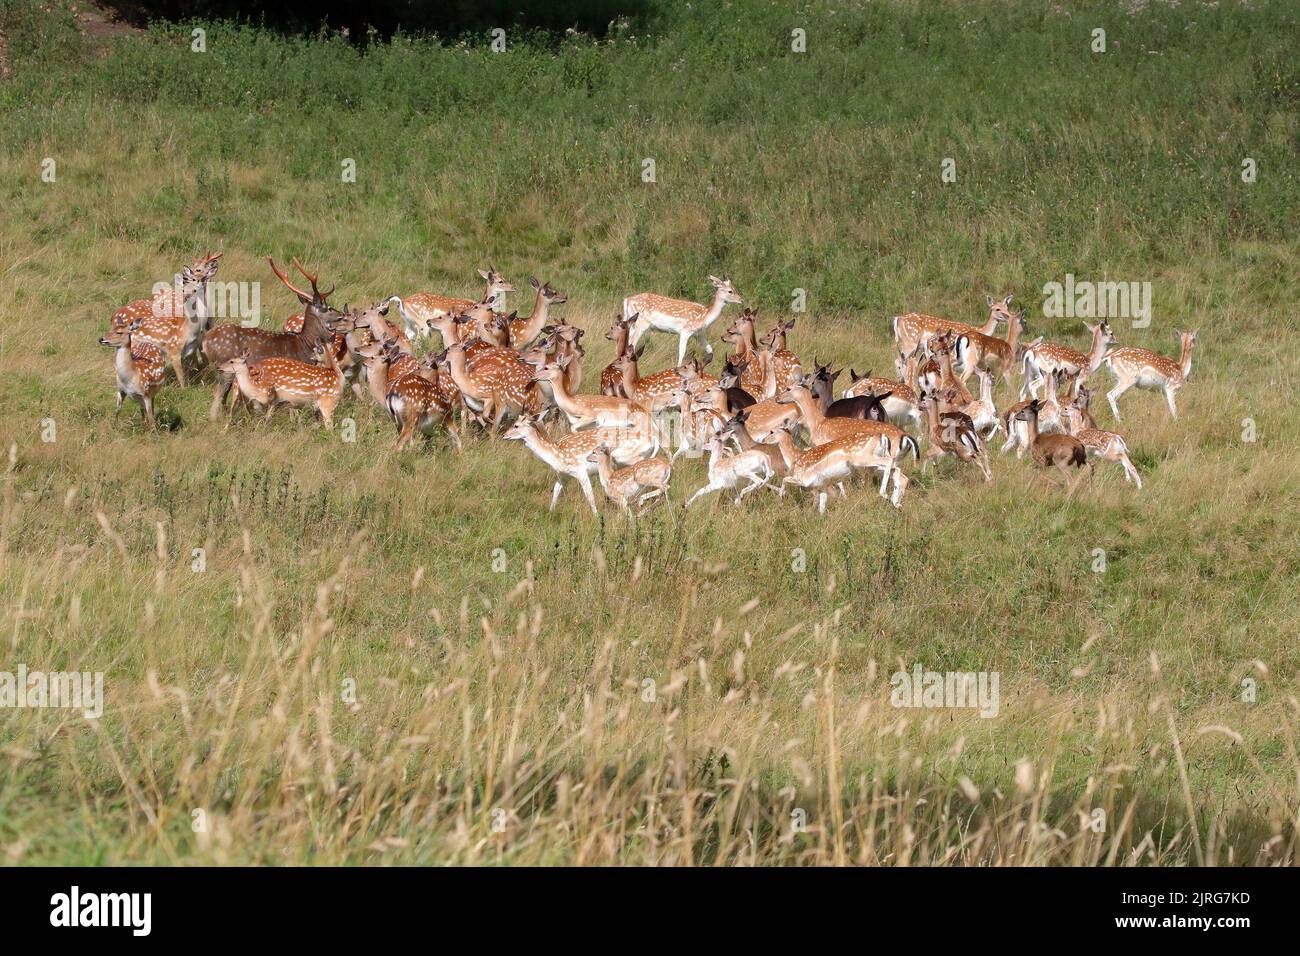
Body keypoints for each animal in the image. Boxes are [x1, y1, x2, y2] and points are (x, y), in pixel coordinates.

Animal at [202, 257, 341, 420]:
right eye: (327, 308)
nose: (340, 316)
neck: (304, 345)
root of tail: (206, 340)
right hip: (225, 366)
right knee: (218, 393)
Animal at [503, 416, 655, 515]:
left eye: (516, 425)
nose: (504, 435)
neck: (555, 455)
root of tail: (653, 441)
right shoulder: (563, 475)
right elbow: (556, 490)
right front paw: (550, 512)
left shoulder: (580, 471)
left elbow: (589, 495)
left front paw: (596, 516)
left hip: (631, 459)